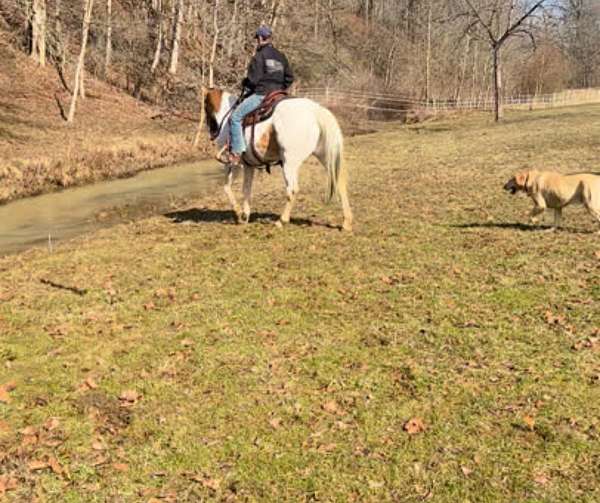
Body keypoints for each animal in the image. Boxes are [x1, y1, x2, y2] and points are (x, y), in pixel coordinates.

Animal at [204, 89, 352, 231]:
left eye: (205, 106)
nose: (212, 133)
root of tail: (316, 111)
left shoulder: (233, 164)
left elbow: (227, 187)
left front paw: (239, 212)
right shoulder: (248, 165)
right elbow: (246, 189)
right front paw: (245, 215)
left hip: (289, 163)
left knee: (292, 189)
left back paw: (281, 221)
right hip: (325, 156)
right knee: (339, 182)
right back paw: (346, 222)